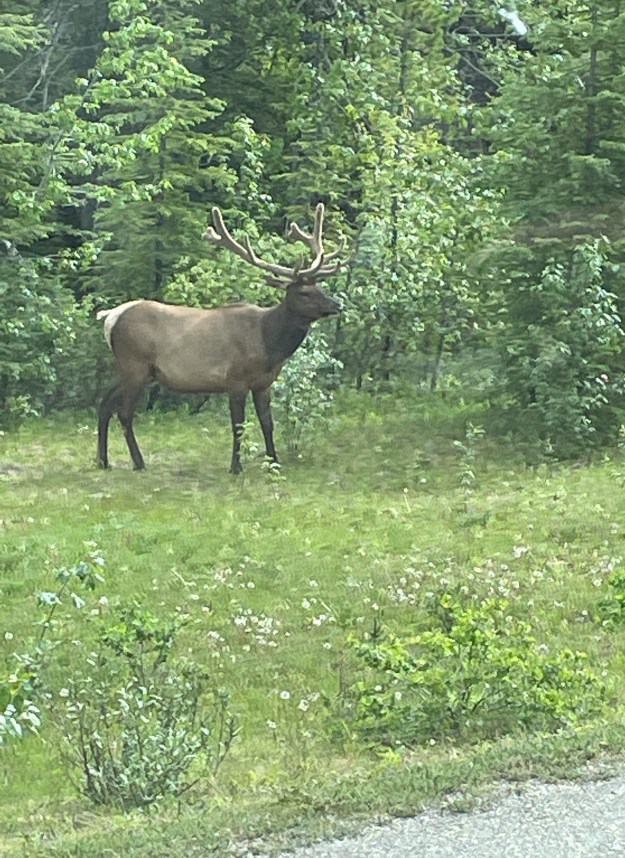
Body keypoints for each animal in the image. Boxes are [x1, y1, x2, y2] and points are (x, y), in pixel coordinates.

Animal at [96, 203, 345, 474]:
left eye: (320, 287)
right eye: (303, 292)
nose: (337, 305)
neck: (268, 345)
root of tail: (110, 318)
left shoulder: (263, 384)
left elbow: (267, 424)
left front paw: (274, 463)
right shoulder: (235, 379)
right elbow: (238, 426)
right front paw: (236, 467)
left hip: (135, 370)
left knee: (104, 403)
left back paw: (103, 461)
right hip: (135, 364)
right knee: (124, 412)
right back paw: (138, 462)